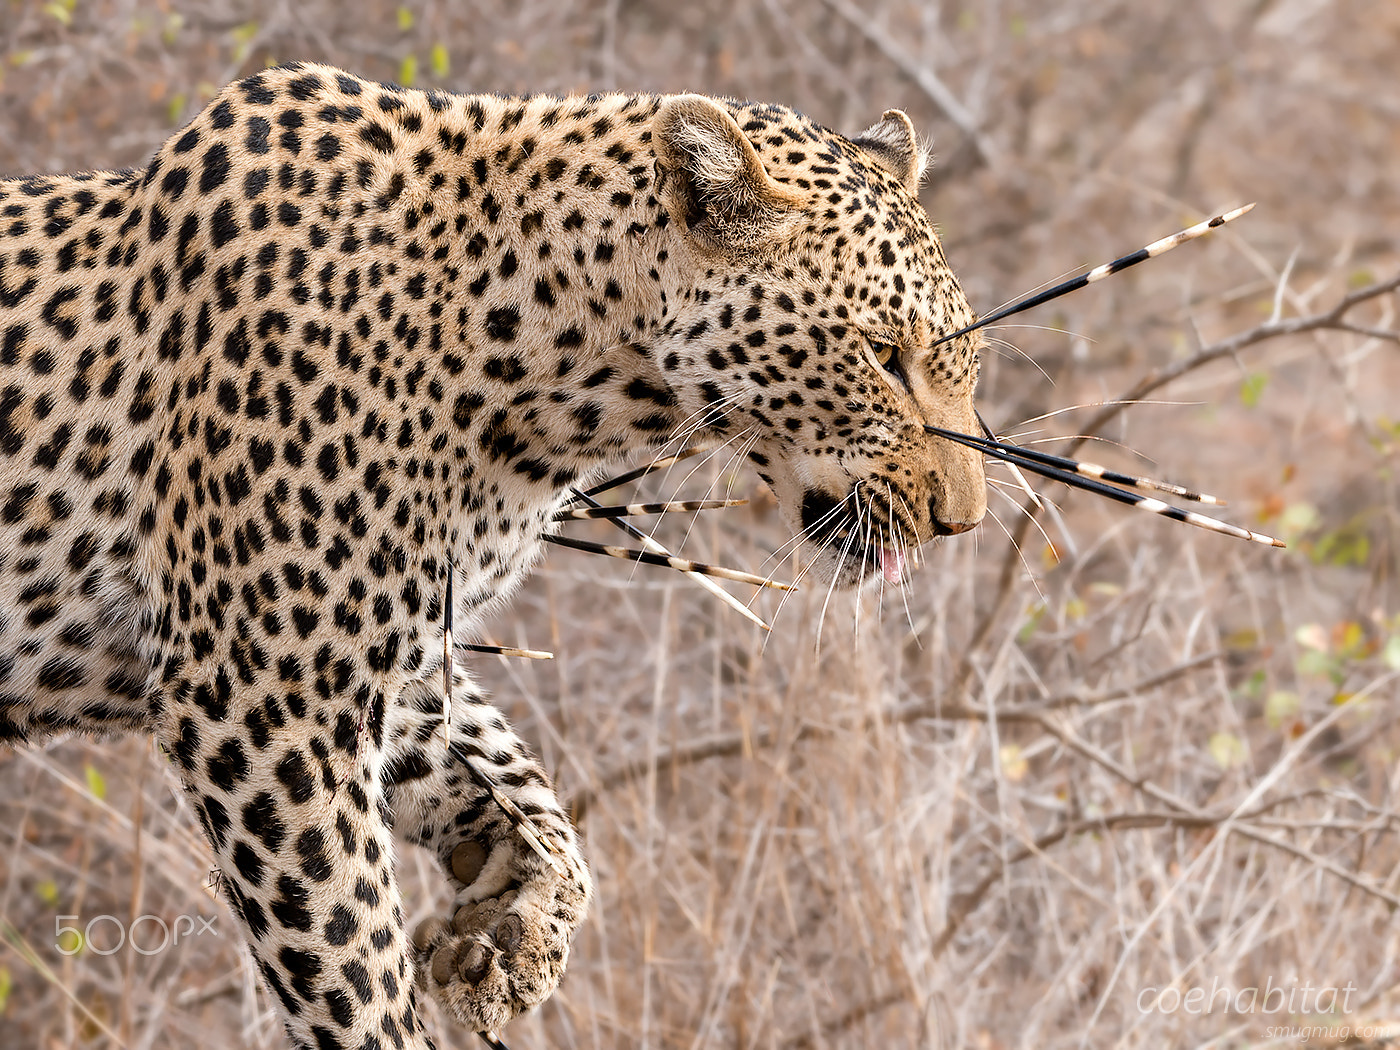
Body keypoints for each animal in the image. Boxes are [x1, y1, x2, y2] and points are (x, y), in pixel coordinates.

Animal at [0, 61, 985, 1047]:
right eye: (882, 355)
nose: (963, 521)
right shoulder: (265, 696)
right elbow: (352, 961)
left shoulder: (388, 661)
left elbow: (525, 789)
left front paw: (511, 932)